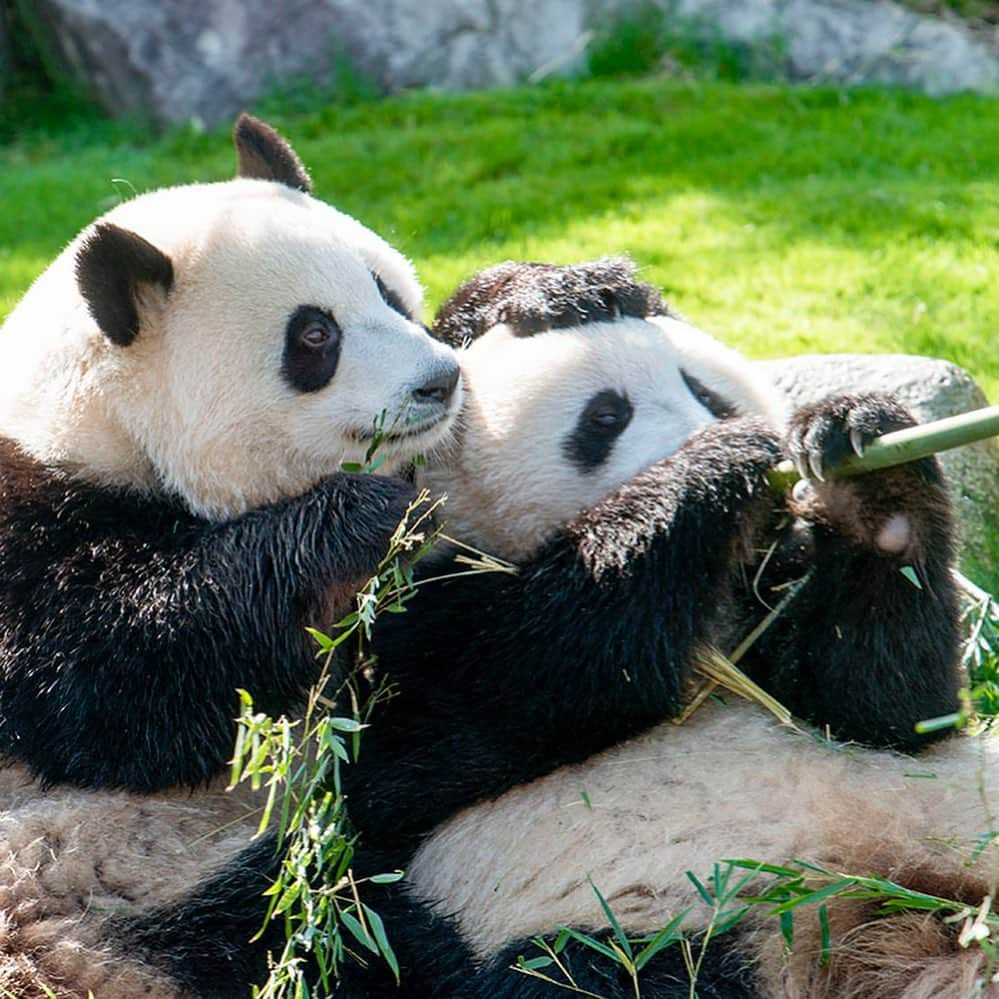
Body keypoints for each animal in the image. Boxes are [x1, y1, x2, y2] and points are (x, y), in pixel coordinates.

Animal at [0, 115, 464, 992]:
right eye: (314, 335)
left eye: (389, 293)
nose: (441, 379)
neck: (96, 425)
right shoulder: (23, 534)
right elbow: (127, 680)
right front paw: (365, 518)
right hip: (103, 871)